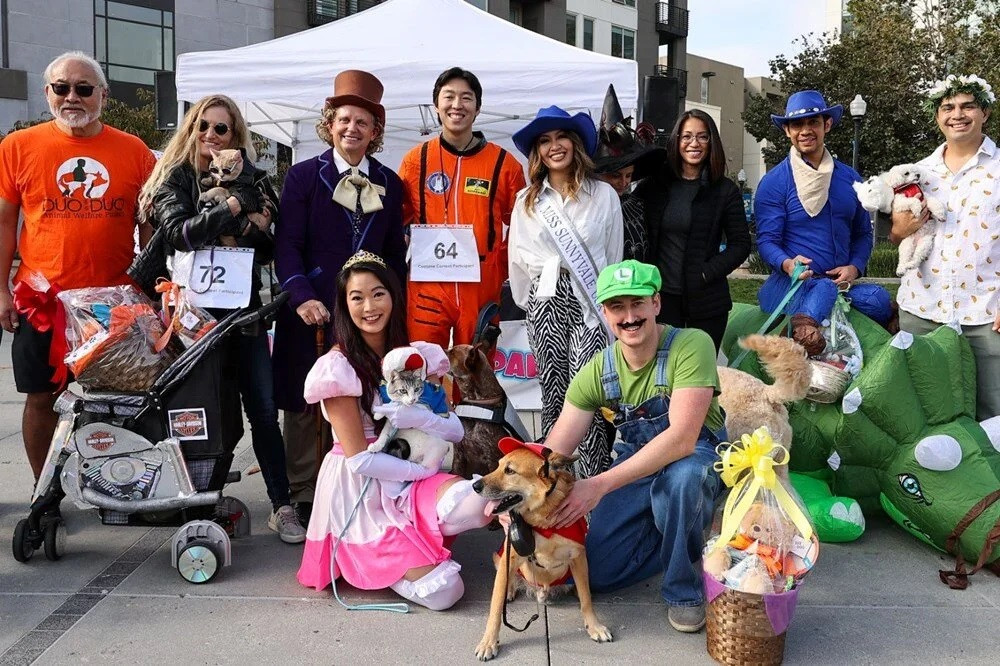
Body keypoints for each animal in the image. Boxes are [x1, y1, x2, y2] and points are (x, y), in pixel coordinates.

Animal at [472, 436, 612, 660]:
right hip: (501, 557)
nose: (474, 485)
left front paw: (594, 626)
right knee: (506, 581)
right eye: (498, 465)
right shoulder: (510, 556)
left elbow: (586, 599)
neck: (542, 520)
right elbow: (495, 607)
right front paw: (488, 642)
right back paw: (510, 590)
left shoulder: (578, 555)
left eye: (509, 470)